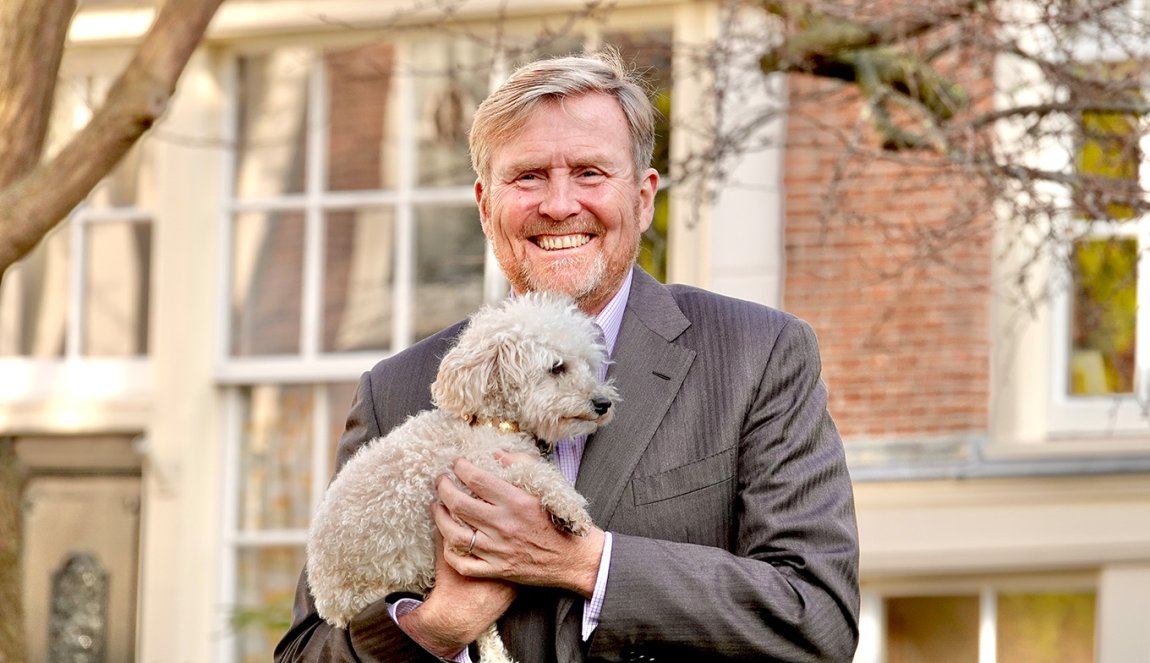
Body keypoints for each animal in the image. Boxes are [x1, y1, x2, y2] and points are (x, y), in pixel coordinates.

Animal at [301, 291, 616, 657]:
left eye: (588, 365)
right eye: (557, 368)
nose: (603, 403)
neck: (494, 422)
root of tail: (329, 604)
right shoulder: (478, 472)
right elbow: (532, 471)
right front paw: (568, 507)